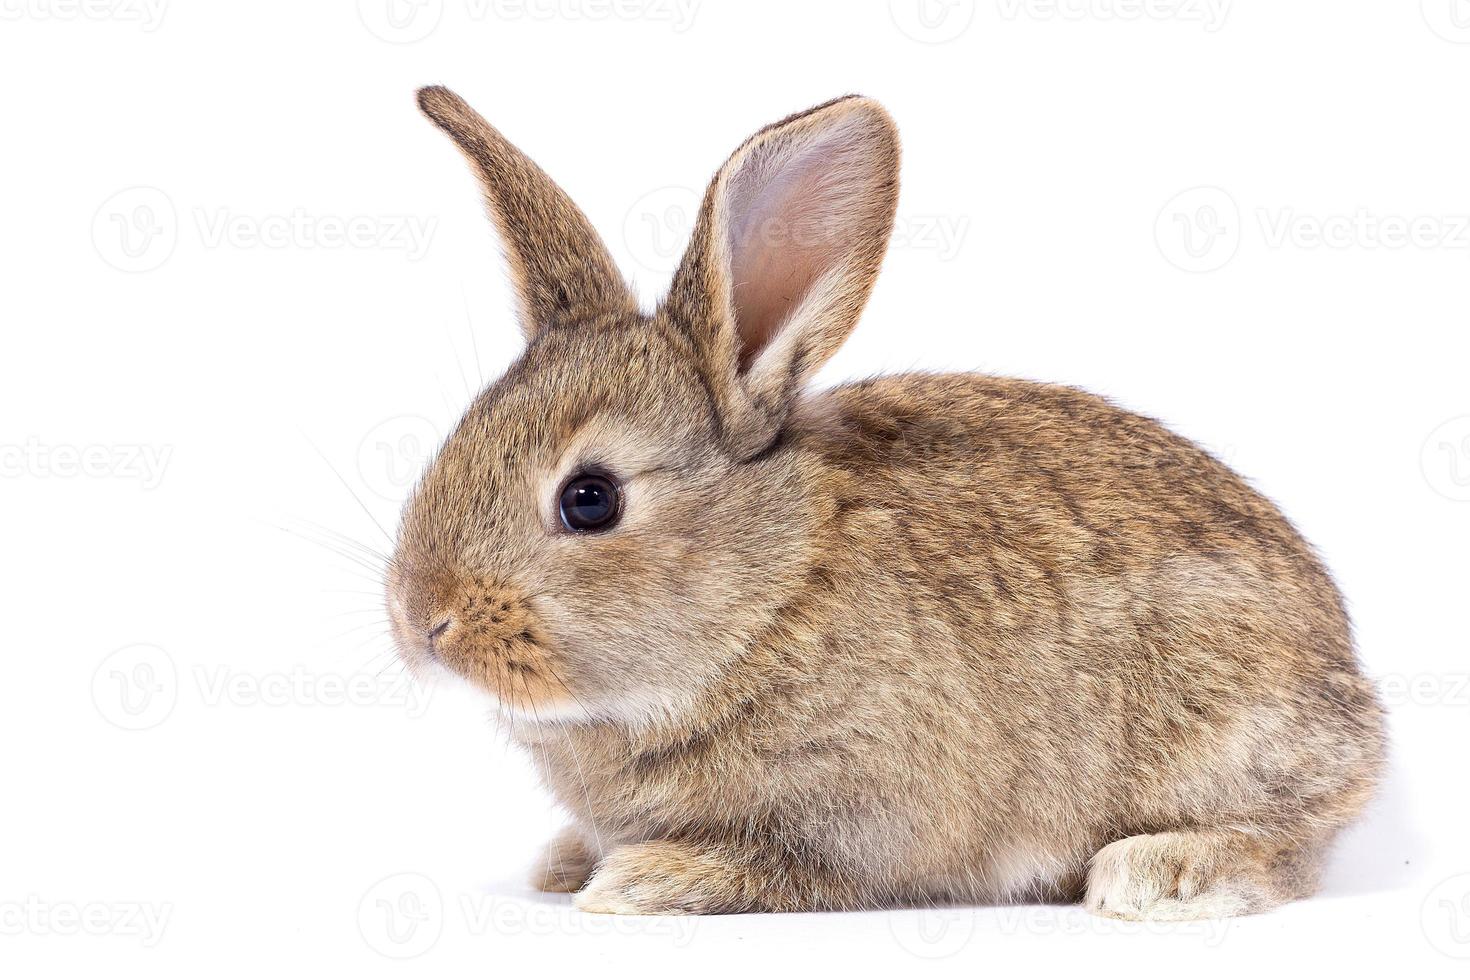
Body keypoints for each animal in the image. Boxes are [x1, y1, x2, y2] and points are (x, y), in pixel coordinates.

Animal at [385, 86, 1381, 922]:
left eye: (590, 500)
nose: (422, 621)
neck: (772, 594)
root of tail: (1357, 701)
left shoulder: (861, 814)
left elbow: (795, 870)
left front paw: (645, 880)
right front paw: (565, 863)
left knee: (1287, 846)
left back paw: (1160, 873)